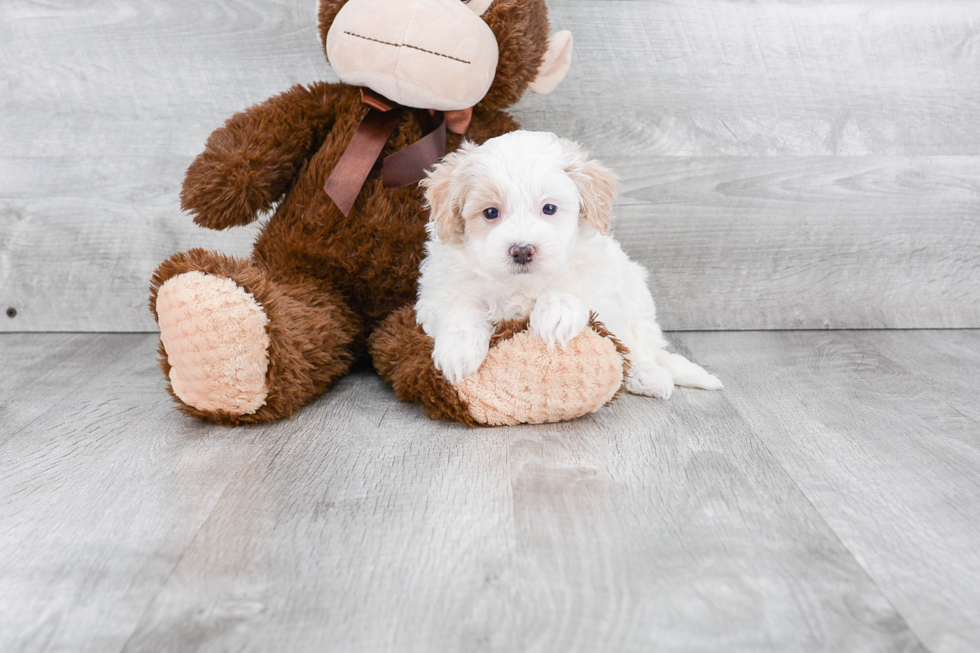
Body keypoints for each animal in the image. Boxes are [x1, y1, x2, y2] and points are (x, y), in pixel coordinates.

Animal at [414, 131, 720, 398]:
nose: (522, 251)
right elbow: (461, 308)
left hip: (636, 300)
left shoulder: (600, 281)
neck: (521, 284)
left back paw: (647, 375)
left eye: (549, 208)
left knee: (639, 346)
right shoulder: (438, 291)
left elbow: (570, 288)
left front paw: (556, 315)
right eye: (490, 212)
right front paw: (458, 351)